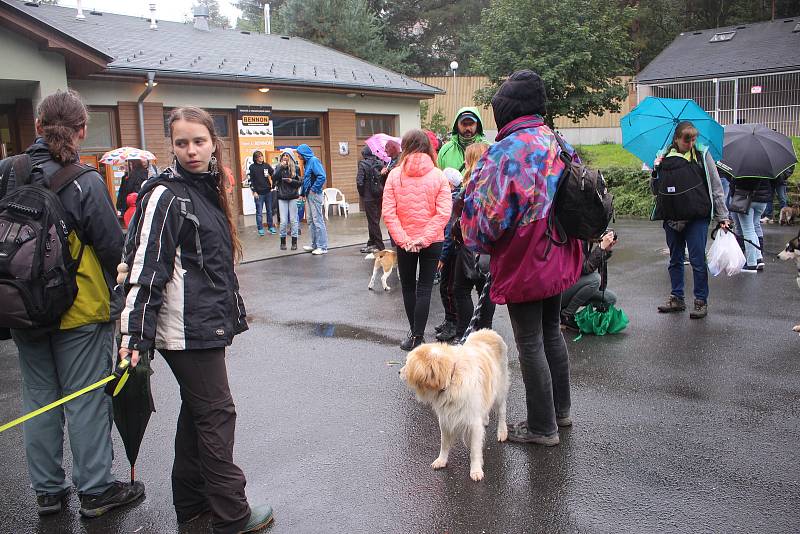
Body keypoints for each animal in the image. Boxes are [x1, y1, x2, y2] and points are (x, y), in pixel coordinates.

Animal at [398, 328, 510, 484]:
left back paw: (502, 432)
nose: (399, 372)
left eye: (408, 364)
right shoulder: (446, 418)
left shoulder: (473, 423)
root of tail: (488, 331)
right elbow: (444, 444)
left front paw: (476, 470)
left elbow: (475, 450)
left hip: (500, 390)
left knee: (502, 411)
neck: (452, 377)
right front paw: (441, 460)